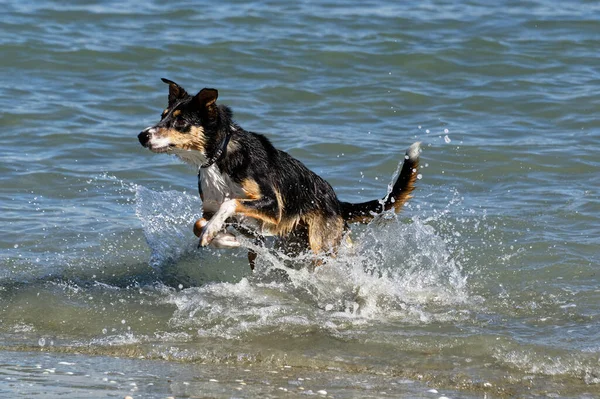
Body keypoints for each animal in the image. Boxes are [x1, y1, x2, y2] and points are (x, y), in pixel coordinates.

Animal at [139, 77, 422, 268]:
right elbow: (200, 224)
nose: (142, 136)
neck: (220, 157)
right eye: (163, 115)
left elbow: (230, 202)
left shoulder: (273, 206)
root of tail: (337, 202)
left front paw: (215, 232)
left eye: (180, 121)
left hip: (320, 246)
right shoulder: (210, 208)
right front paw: (225, 238)